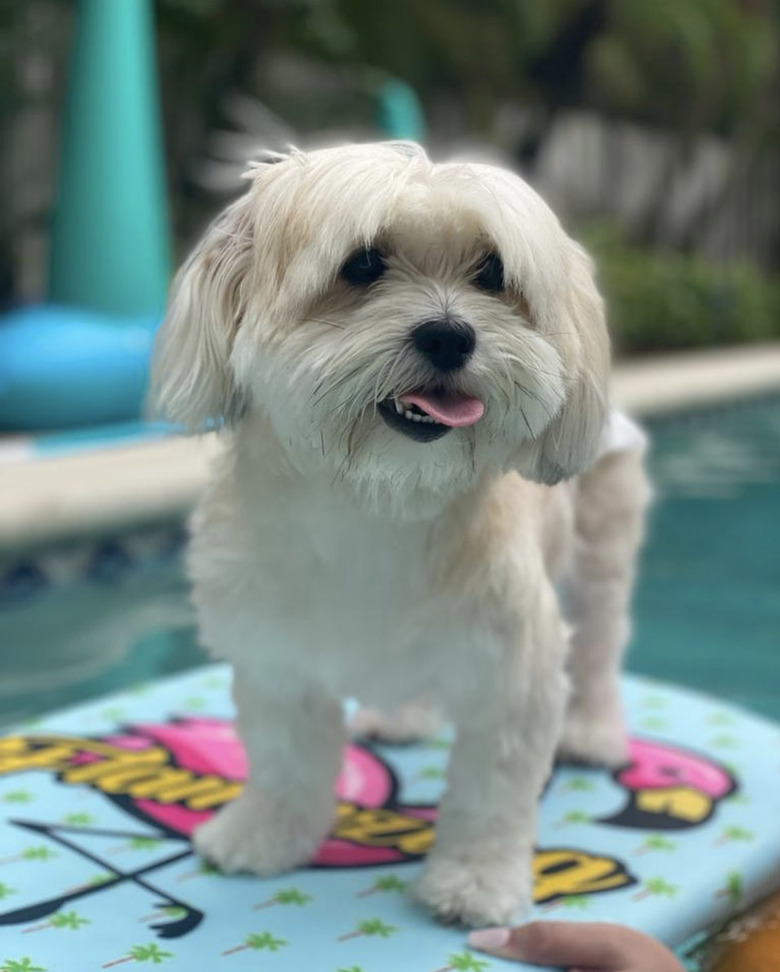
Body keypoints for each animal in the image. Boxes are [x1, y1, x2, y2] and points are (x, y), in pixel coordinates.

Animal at [149, 142, 648, 928]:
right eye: (361, 263)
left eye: (492, 273)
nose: (449, 334)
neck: (380, 500)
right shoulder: (276, 655)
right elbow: (285, 760)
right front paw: (264, 834)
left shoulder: (513, 669)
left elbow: (491, 794)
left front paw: (475, 882)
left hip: (600, 537)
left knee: (599, 640)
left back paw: (595, 731)